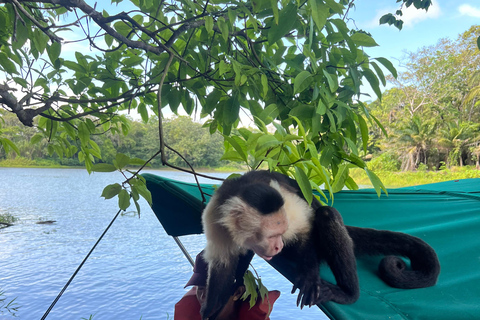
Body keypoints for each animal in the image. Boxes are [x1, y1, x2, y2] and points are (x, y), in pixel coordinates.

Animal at [201, 170, 440, 318]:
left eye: (279, 234)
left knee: (325, 215)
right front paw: (210, 309)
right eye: (271, 236)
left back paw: (348, 293)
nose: (278, 247)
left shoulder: (286, 203)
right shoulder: (215, 215)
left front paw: (309, 278)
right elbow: (223, 265)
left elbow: (306, 229)